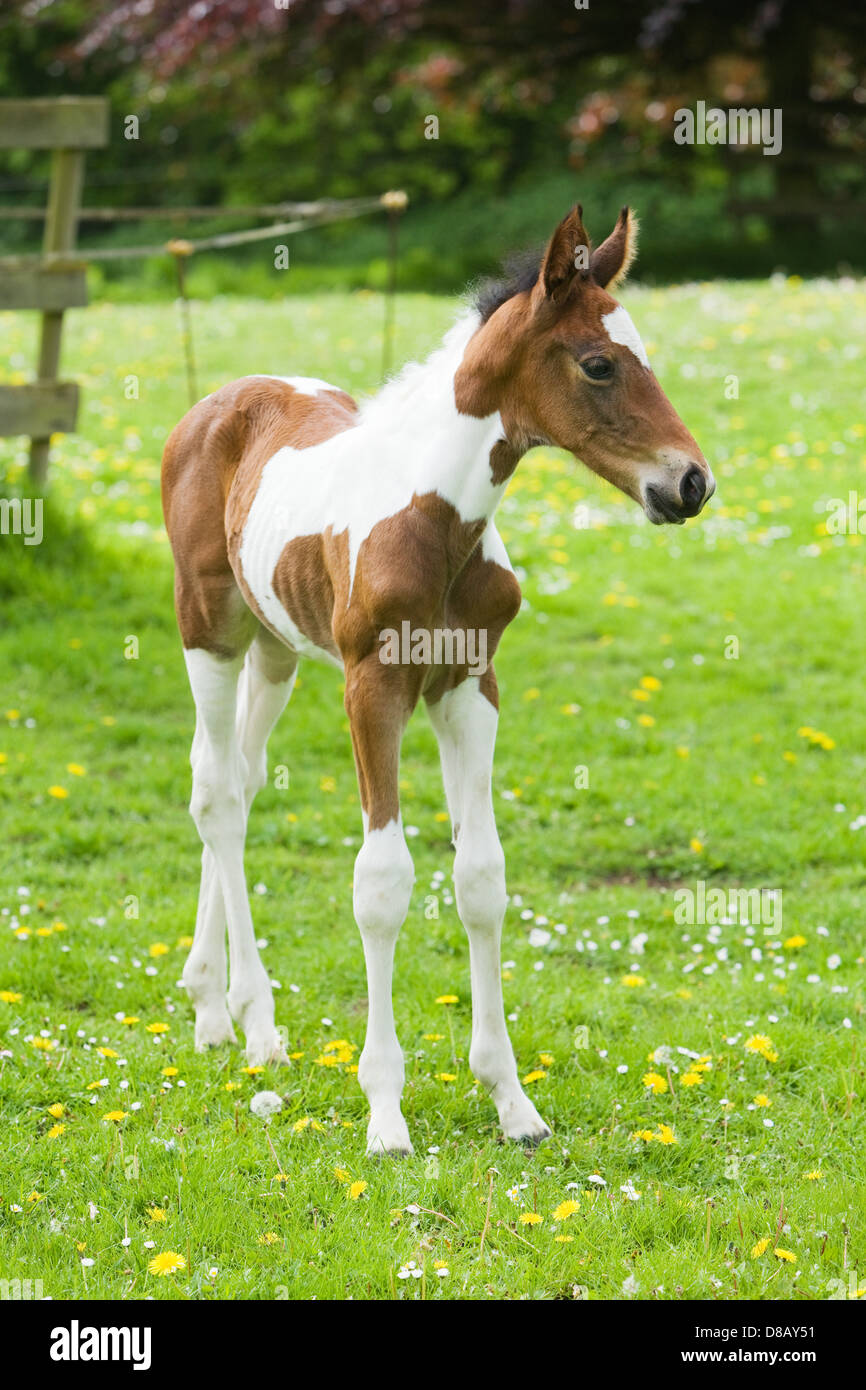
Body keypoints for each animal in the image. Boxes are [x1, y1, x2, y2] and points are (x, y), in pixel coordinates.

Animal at [161, 205, 711, 1156]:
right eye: (599, 364)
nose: (691, 482)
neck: (436, 517)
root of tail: (220, 400)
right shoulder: (372, 688)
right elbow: (382, 883)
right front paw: (385, 1113)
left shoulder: (469, 689)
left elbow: (480, 878)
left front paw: (512, 1102)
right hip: (212, 635)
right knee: (215, 793)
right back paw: (251, 1022)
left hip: (275, 648)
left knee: (236, 779)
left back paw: (218, 1010)